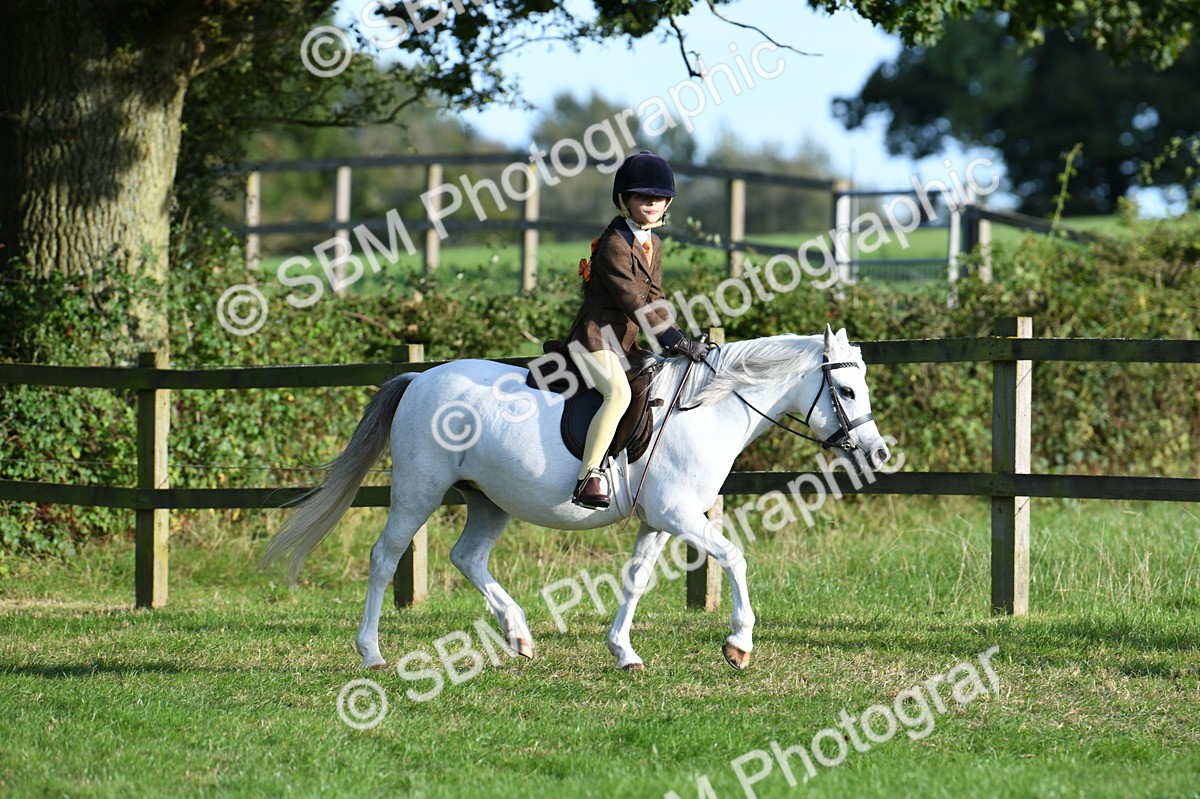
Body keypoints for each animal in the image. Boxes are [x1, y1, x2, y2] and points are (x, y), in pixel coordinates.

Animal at [263, 325, 890, 671]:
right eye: (847, 389)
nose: (879, 452)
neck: (708, 408)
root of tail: (420, 378)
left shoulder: (659, 521)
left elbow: (635, 579)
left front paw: (623, 652)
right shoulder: (680, 516)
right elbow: (734, 556)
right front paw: (738, 643)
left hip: (489, 501)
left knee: (468, 558)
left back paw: (518, 635)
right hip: (419, 492)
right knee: (385, 558)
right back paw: (371, 652)